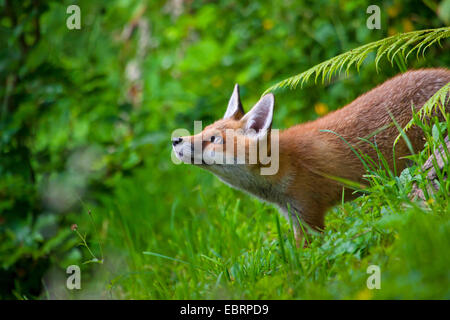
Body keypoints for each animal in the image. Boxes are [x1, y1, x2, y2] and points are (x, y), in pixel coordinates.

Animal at [171, 69, 446, 245]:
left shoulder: (309, 214)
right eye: (203, 131)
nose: (176, 140)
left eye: (214, 139)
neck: (286, 166)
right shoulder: (293, 214)